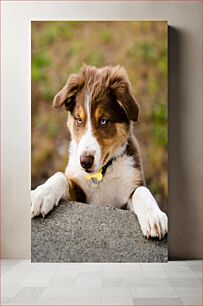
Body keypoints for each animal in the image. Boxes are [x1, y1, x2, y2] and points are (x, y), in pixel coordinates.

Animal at [31, 65, 168, 240]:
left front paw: (153, 215)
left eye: (103, 121)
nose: (85, 162)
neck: (102, 175)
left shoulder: (127, 193)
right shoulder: (81, 194)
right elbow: (61, 176)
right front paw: (42, 193)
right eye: (79, 120)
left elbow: (141, 190)